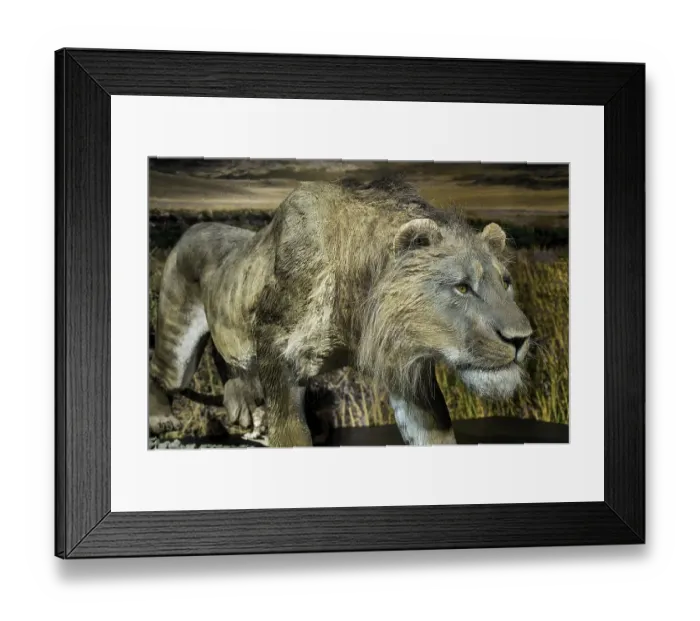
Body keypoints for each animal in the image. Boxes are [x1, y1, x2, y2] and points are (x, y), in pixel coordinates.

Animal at [149, 178, 533, 447]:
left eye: (506, 282)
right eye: (462, 287)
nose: (522, 339)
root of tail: (192, 228)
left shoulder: (403, 365)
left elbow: (435, 435)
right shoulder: (277, 353)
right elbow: (291, 436)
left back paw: (240, 404)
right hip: (178, 344)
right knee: (161, 372)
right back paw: (161, 419)